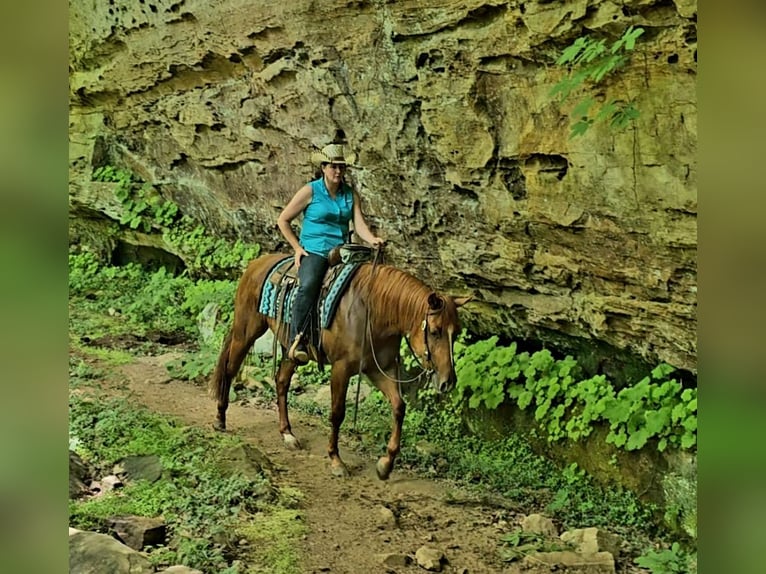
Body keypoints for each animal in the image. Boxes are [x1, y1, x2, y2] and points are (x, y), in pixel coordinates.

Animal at [212, 253, 474, 482]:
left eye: (456, 332)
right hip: (246, 330)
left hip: (291, 348)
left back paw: (287, 434)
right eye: (435, 331)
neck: (374, 312)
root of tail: (257, 263)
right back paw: (220, 419)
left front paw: (385, 464)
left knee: (281, 380)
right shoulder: (342, 368)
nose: (448, 381)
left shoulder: (379, 369)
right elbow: (337, 413)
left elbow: (399, 407)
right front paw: (336, 460)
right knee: (230, 368)